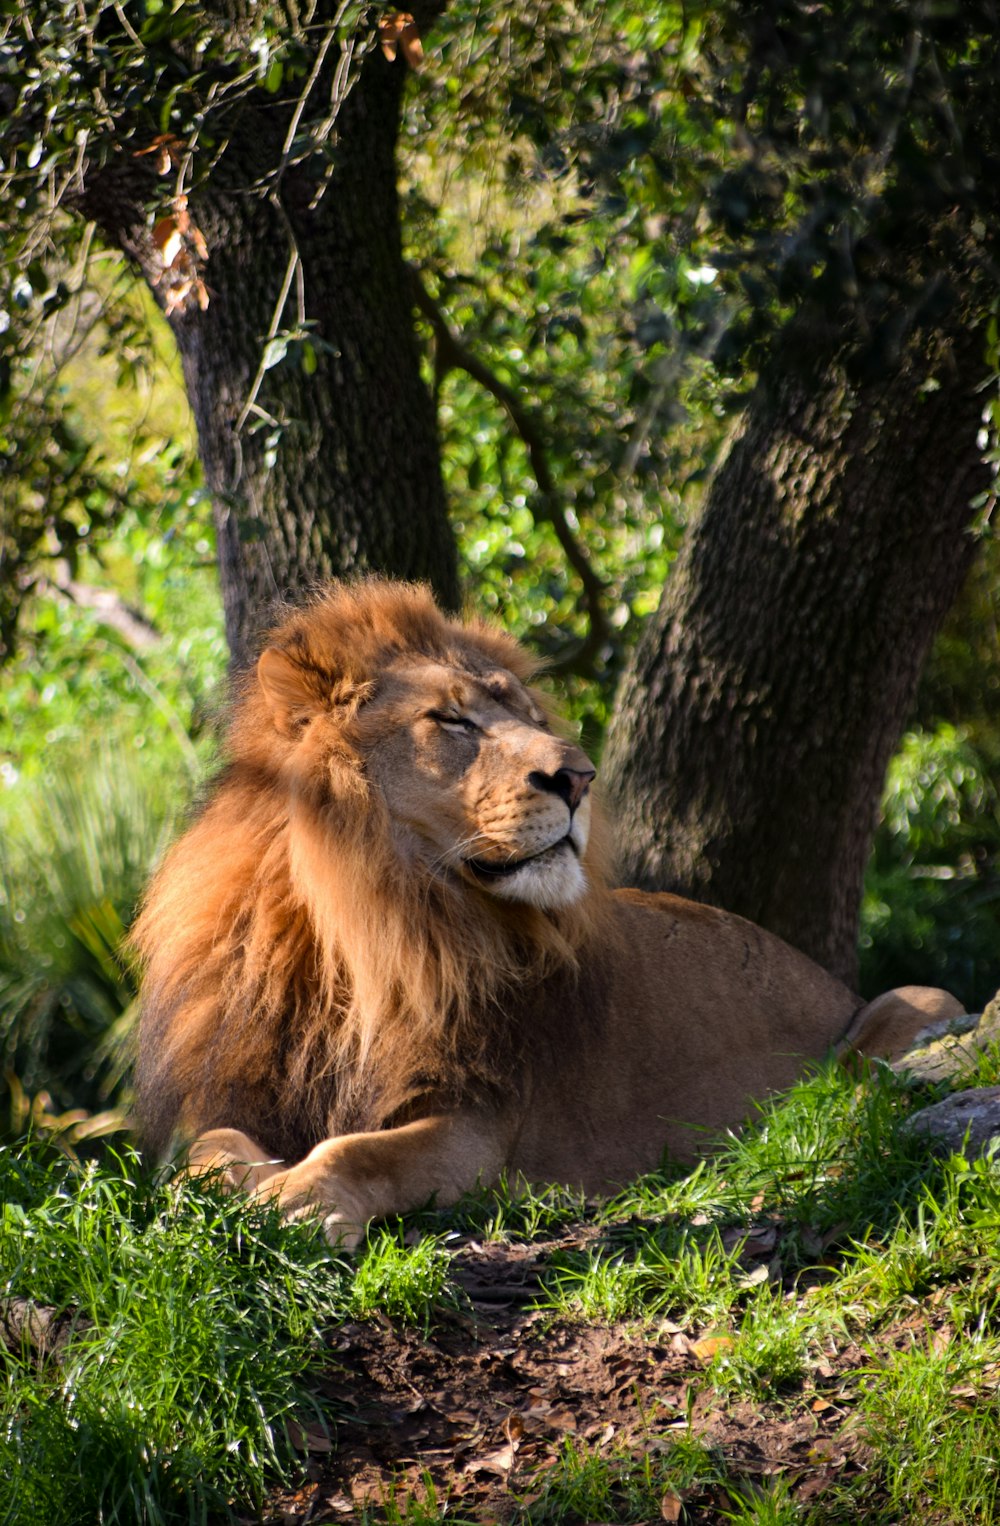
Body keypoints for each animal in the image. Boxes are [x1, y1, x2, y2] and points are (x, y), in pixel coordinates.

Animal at [131, 576, 964, 1245]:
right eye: (451, 721)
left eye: (530, 714)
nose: (580, 776)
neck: (361, 932)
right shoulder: (252, 1095)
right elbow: (204, 1150)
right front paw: (232, 1184)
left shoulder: (478, 1124)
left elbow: (364, 1149)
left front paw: (300, 1196)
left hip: (912, 1003)